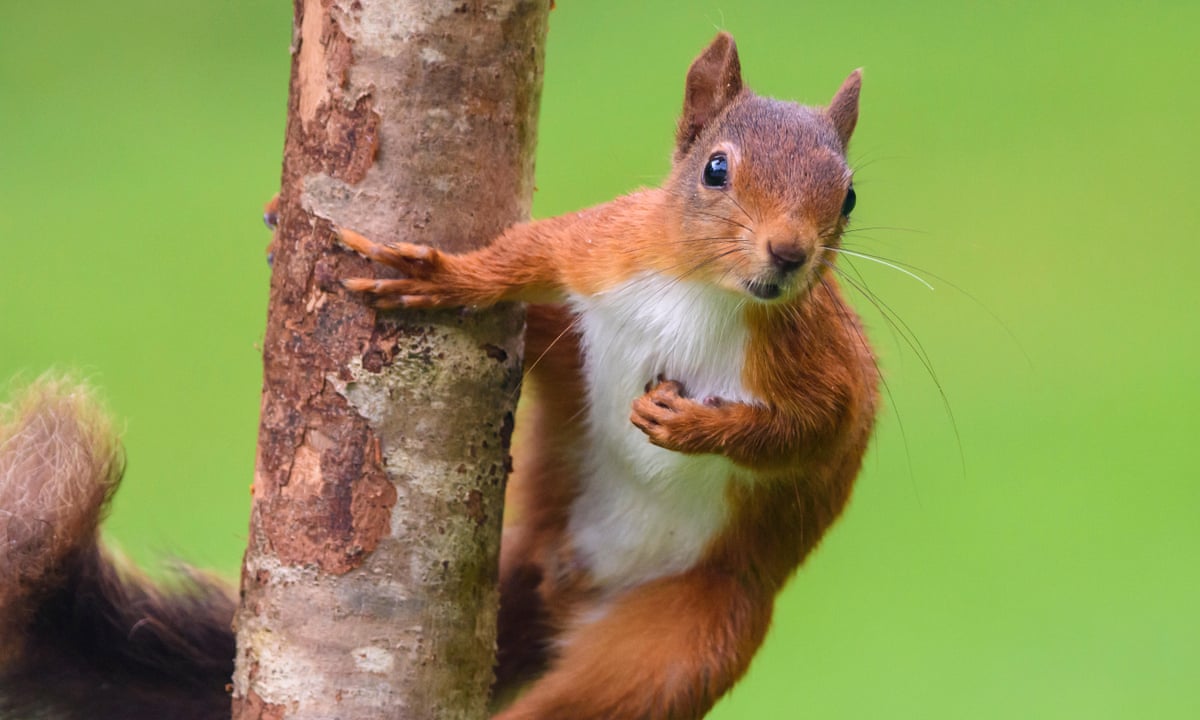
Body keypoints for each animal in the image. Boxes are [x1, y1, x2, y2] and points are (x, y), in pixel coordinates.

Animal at [0, 32, 878, 720]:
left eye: (848, 196)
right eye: (715, 170)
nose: (789, 255)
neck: (704, 292)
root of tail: (564, 579)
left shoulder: (820, 363)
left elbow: (814, 432)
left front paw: (696, 425)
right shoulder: (600, 245)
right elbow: (523, 255)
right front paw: (446, 277)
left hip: (684, 640)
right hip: (563, 357)